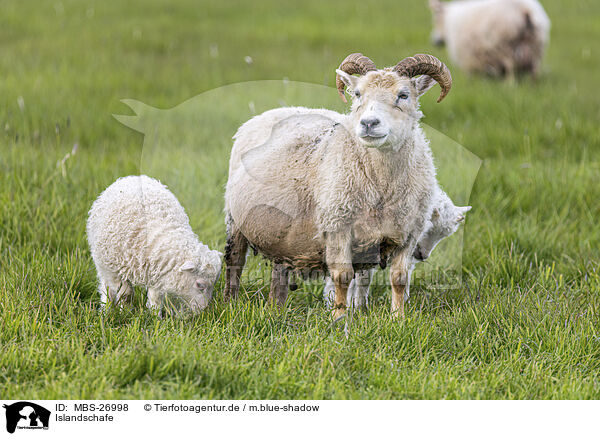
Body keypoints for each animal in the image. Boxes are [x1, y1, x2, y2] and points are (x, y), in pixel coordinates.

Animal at [86, 174, 223, 314]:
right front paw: (125, 312)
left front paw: (154, 315)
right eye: (200, 285)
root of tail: (132, 177)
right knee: (106, 287)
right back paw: (105, 310)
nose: (204, 311)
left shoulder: (156, 273)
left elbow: (155, 299)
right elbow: (125, 294)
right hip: (103, 264)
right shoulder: (114, 270)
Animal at [223, 52, 452, 318]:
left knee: (278, 275)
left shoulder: (409, 232)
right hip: (234, 219)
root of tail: (272, 111)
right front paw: (339, 318)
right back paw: (230, 303)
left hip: (279, 234)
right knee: (235, 261)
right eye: (358, 94)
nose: (369, 123)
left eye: (403, 95)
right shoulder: (337, 226)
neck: (382, 186)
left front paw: (398, 318)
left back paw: (275, 310)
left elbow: (399, 278)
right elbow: (342, 277)